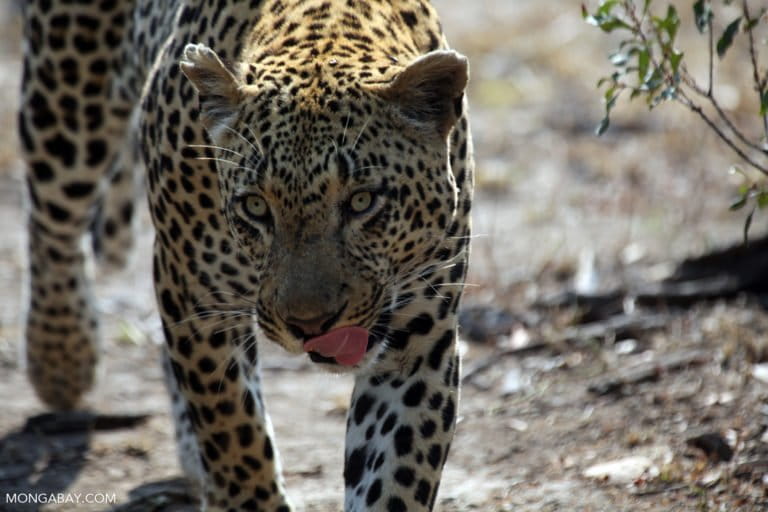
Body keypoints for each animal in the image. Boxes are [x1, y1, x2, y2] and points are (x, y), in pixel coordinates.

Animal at [18, 0, 472, 510]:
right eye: (256, 207)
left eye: (361, 201)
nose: (310, 326)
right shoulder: (197, 298)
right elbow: (236, 437)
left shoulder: (419, 334)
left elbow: (394, 475)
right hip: (71, 97)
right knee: (52, 221)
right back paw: (61, 359)